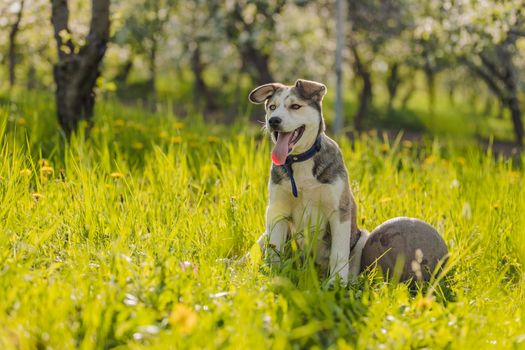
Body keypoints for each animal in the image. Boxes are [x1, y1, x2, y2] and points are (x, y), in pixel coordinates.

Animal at [248, 78, 366, 284]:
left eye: (295, 106)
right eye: (272, 107)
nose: (273, 121)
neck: (299, 159)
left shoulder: (339, 210)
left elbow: (339, 253)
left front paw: (336, 283)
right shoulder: (276, 209)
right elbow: (274, 249)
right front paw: (273, 275)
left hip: (362, 236)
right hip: (264, 235)